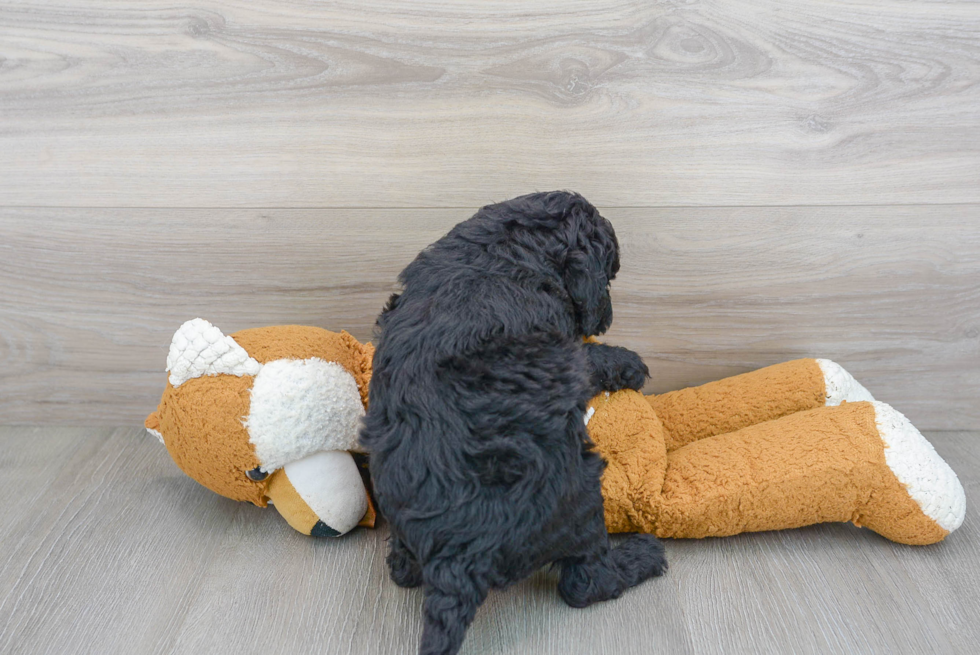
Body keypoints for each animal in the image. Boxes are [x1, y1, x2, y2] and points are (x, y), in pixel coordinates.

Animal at [360, 190, 668, 655]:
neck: (503, 248)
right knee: (585, 583)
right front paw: (629, 362)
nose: (606, 317)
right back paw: (642, 555)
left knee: (402, 571)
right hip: (580, 499)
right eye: (610, 275)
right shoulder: (568, 349)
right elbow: (590, 356)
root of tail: (458, 560)